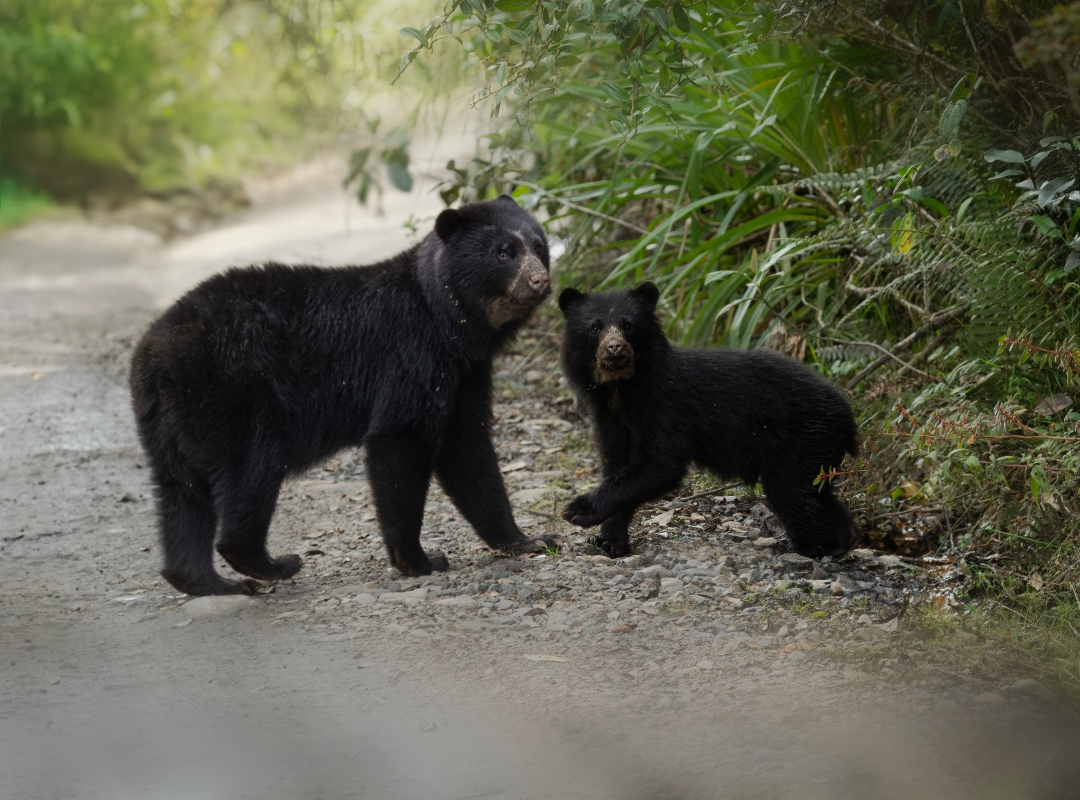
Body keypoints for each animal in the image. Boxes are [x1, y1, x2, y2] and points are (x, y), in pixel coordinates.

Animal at [130, 194, 561, 596]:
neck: (452, 323)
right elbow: (401, 439)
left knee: (181, 496)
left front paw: (529, 539)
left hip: (169, 424)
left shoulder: (466, 374)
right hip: (232, 397)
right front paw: (419, 560)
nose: (540, 281)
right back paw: (273, 564)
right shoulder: (412, 356)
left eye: (539, 246)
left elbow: (467, 448)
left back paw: (207, 581)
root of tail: (151, 355)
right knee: (250, 474)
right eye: (504, 252)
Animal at [557, 281, 859, 560]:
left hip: (803, 440)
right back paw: (841, 541)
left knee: (793, 493)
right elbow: (618, 463)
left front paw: (577, 510)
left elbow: (662, 463)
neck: (621, 388)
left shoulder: (663, 405)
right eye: (594, 328)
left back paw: (812, 547)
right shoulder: (610, 419)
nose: (615, 348)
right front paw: (609, 542)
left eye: (628, 325)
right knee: (815, 495)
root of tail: (849, 416)